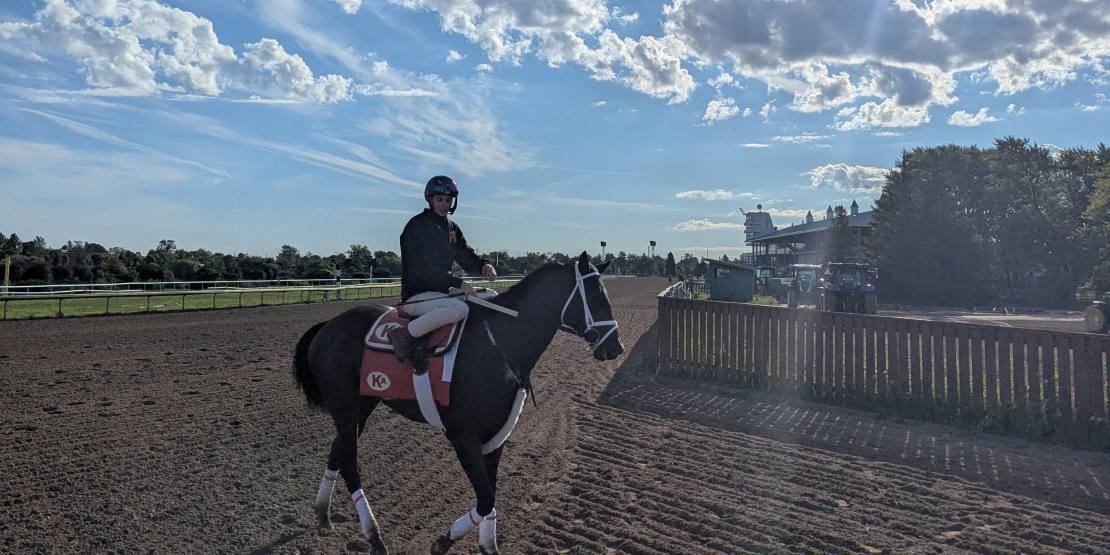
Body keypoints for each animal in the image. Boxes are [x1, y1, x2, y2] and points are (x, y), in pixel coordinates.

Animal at [292, 252, 624, 554]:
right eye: (595, 295)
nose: (616, 347)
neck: (499, 343)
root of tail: (328, 325)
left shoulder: (497, 436)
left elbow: (491, 495)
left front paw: (487, 547)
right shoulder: (463, 437)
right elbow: (486, 498)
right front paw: (442, 541)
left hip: (360, 407)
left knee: (337, 450)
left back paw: (323, 515)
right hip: (346, 406)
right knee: (350, 463)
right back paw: (374, 537)